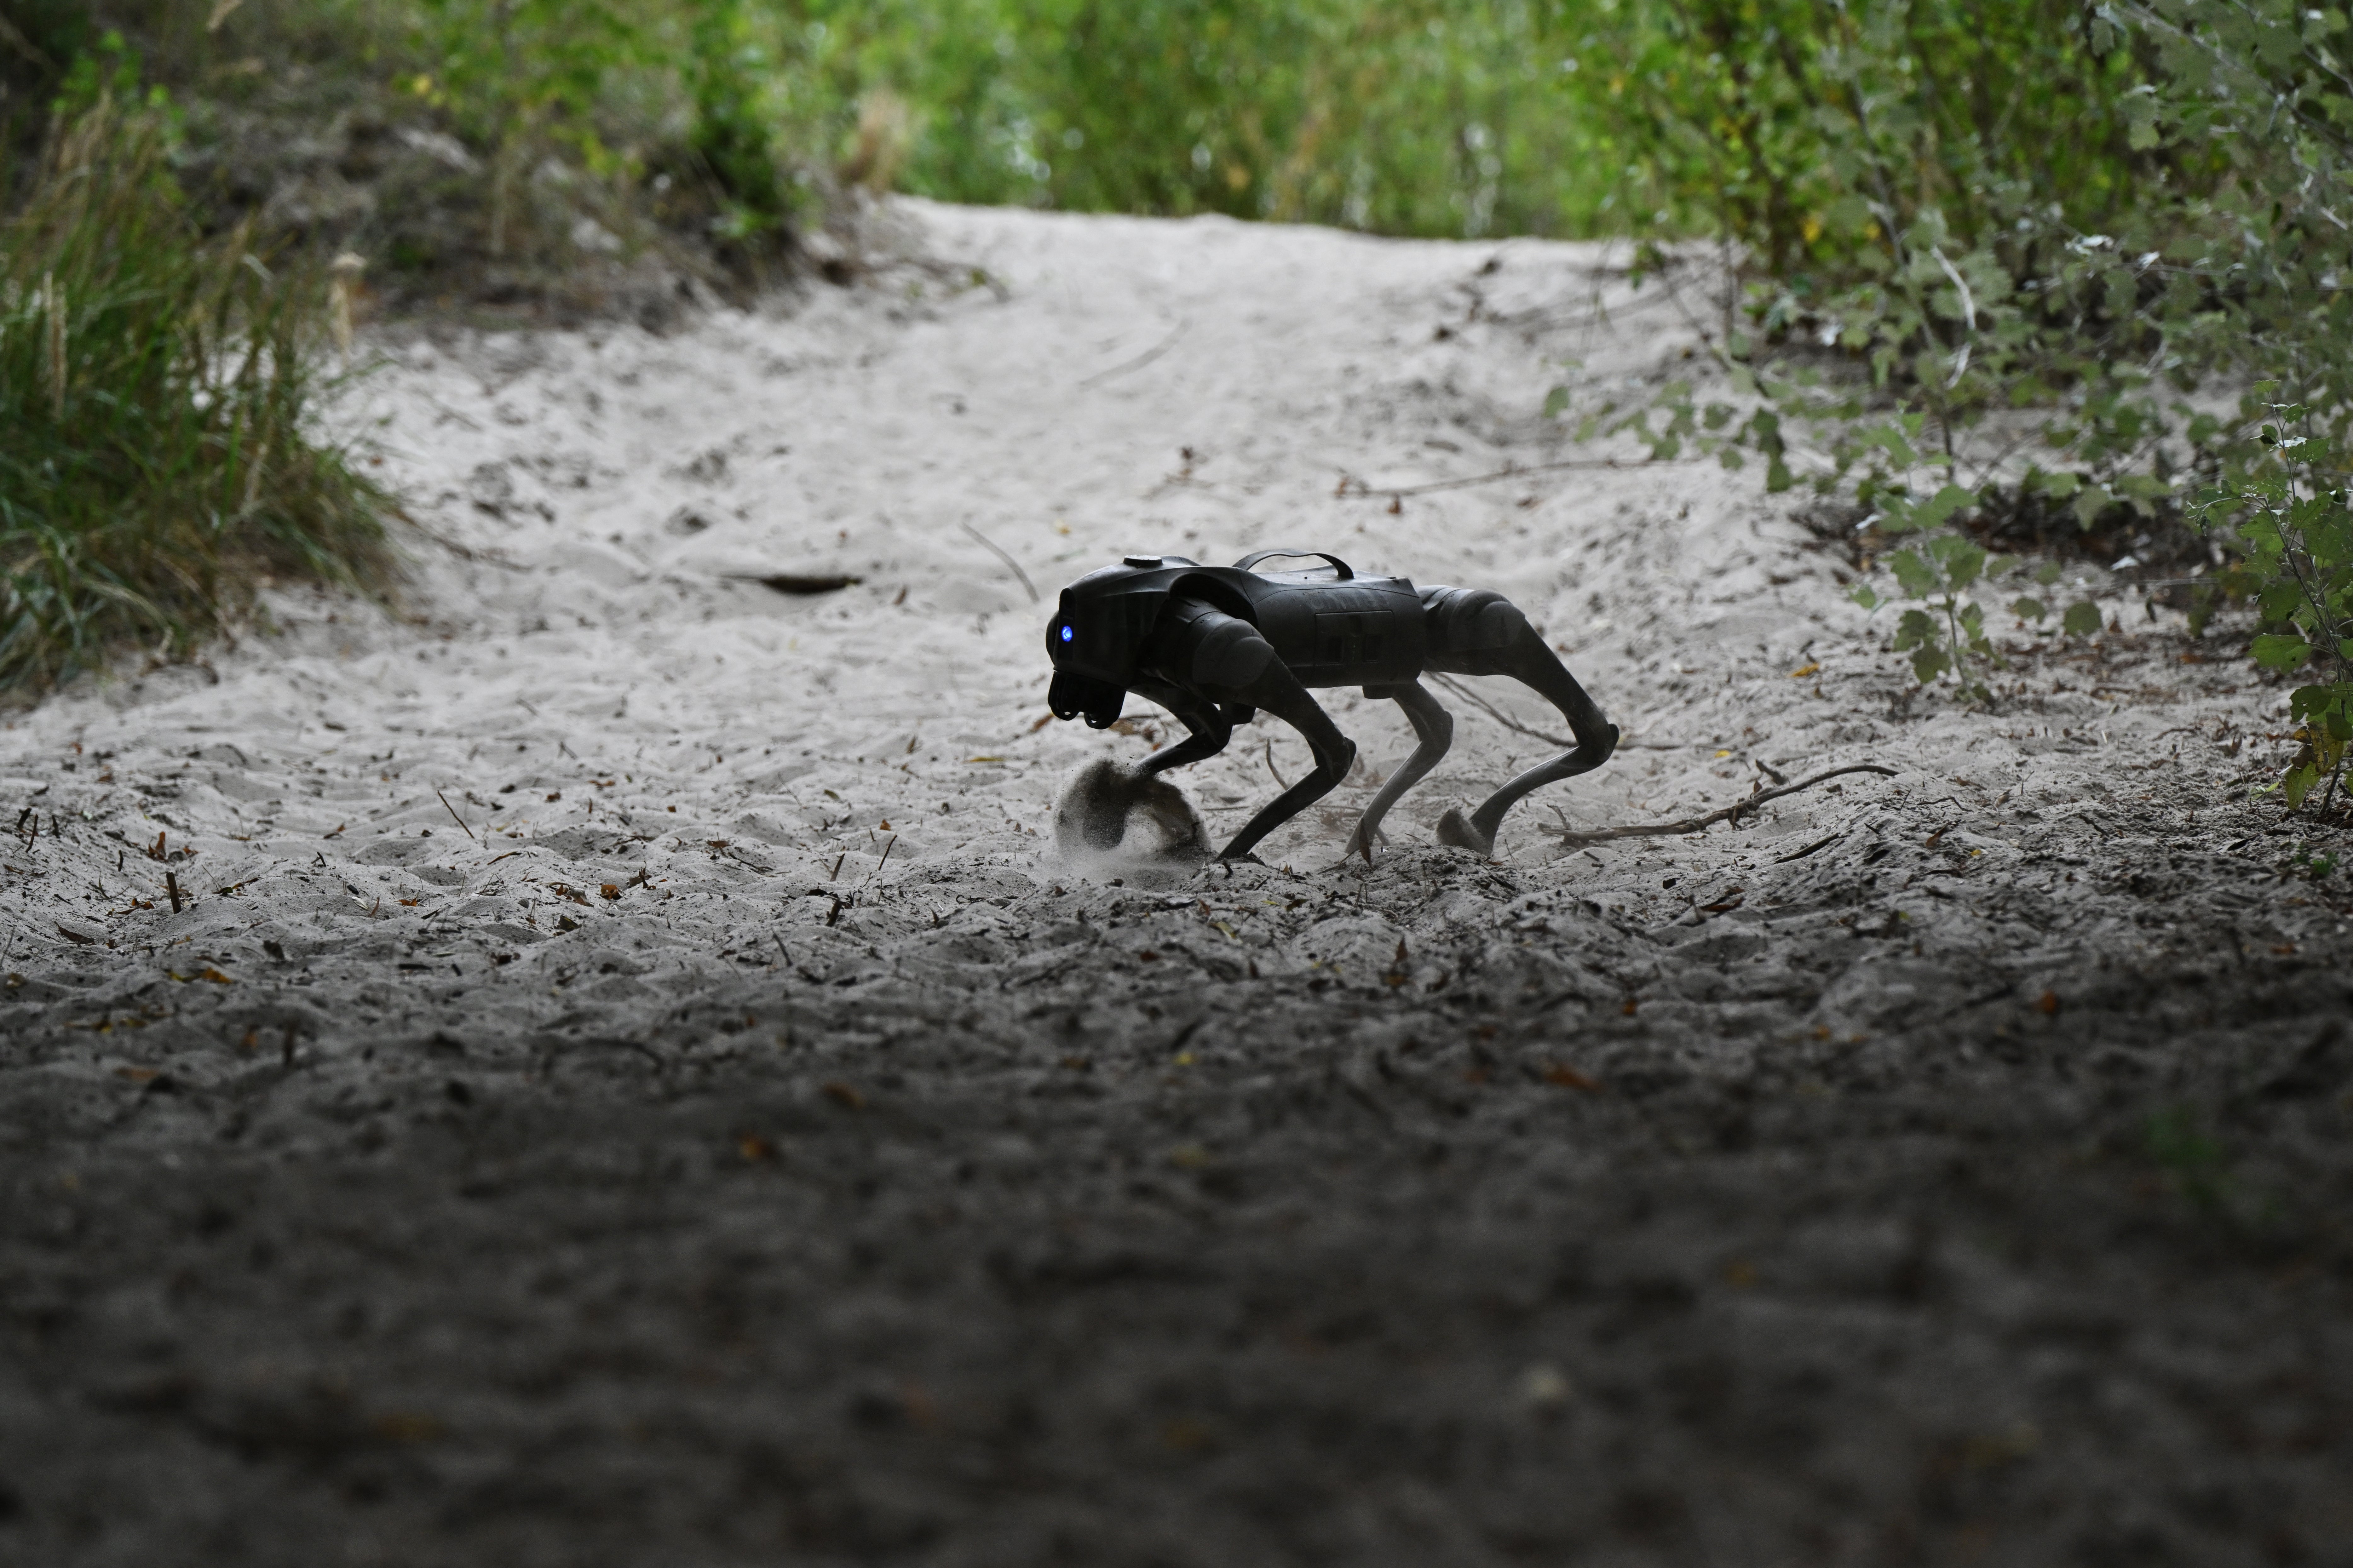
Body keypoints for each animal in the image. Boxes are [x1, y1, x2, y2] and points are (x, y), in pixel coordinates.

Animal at [1049, 552, 1619, 865]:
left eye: (1071, 644)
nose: (1060, 703)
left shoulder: (1226, 651)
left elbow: (1336, 751)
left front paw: (1225, 861)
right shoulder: (1166, 677)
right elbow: (1212, 735)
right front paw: (1116, 796)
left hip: (1417, 640)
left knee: (1486, 618)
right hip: (1396, 665)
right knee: (1439, 722)